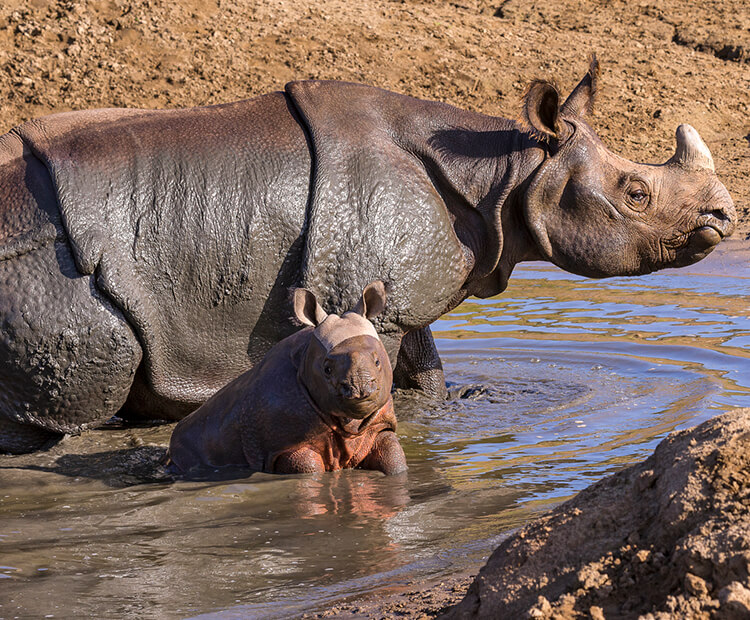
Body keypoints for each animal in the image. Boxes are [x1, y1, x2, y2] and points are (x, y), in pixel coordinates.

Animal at [0, 57, 740, 450]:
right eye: (636, 194)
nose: (724, 217)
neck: (505, 172)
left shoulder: (396, 296)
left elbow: (425, 369)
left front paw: (458, 406)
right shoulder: (362, 298)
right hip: (45, 275)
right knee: (64, 418)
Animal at [167, 284, 408, 478]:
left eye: (377, 361)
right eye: (327, 369)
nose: (360, 389)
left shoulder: (379, 425)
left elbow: (394, 458)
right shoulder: (283, 445)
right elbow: (310, 468)